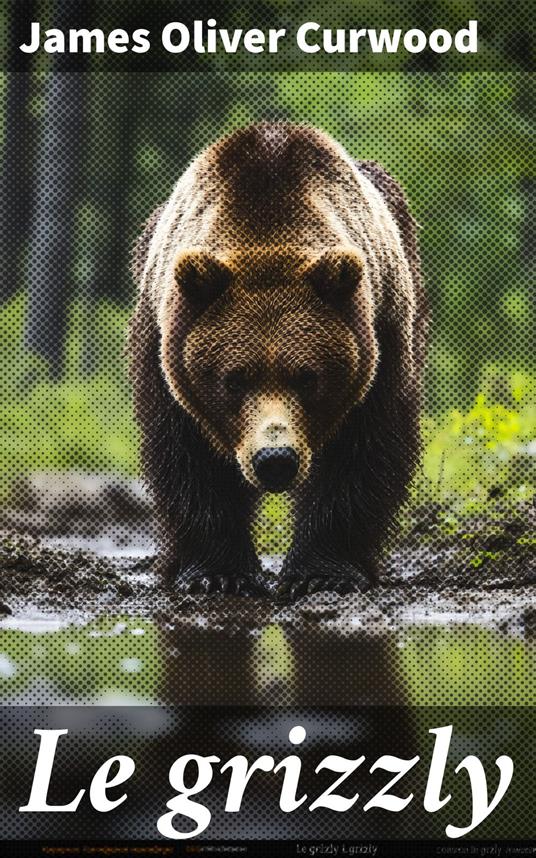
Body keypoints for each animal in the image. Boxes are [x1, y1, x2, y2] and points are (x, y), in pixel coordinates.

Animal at [128, 123, 428, 601]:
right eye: (234, 379)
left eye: (307, 377)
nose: (275, 459)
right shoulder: (165, 349)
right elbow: (187, 456)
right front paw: (216, 573)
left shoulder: (382, 334)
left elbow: (364, 448)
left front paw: (323, 571)